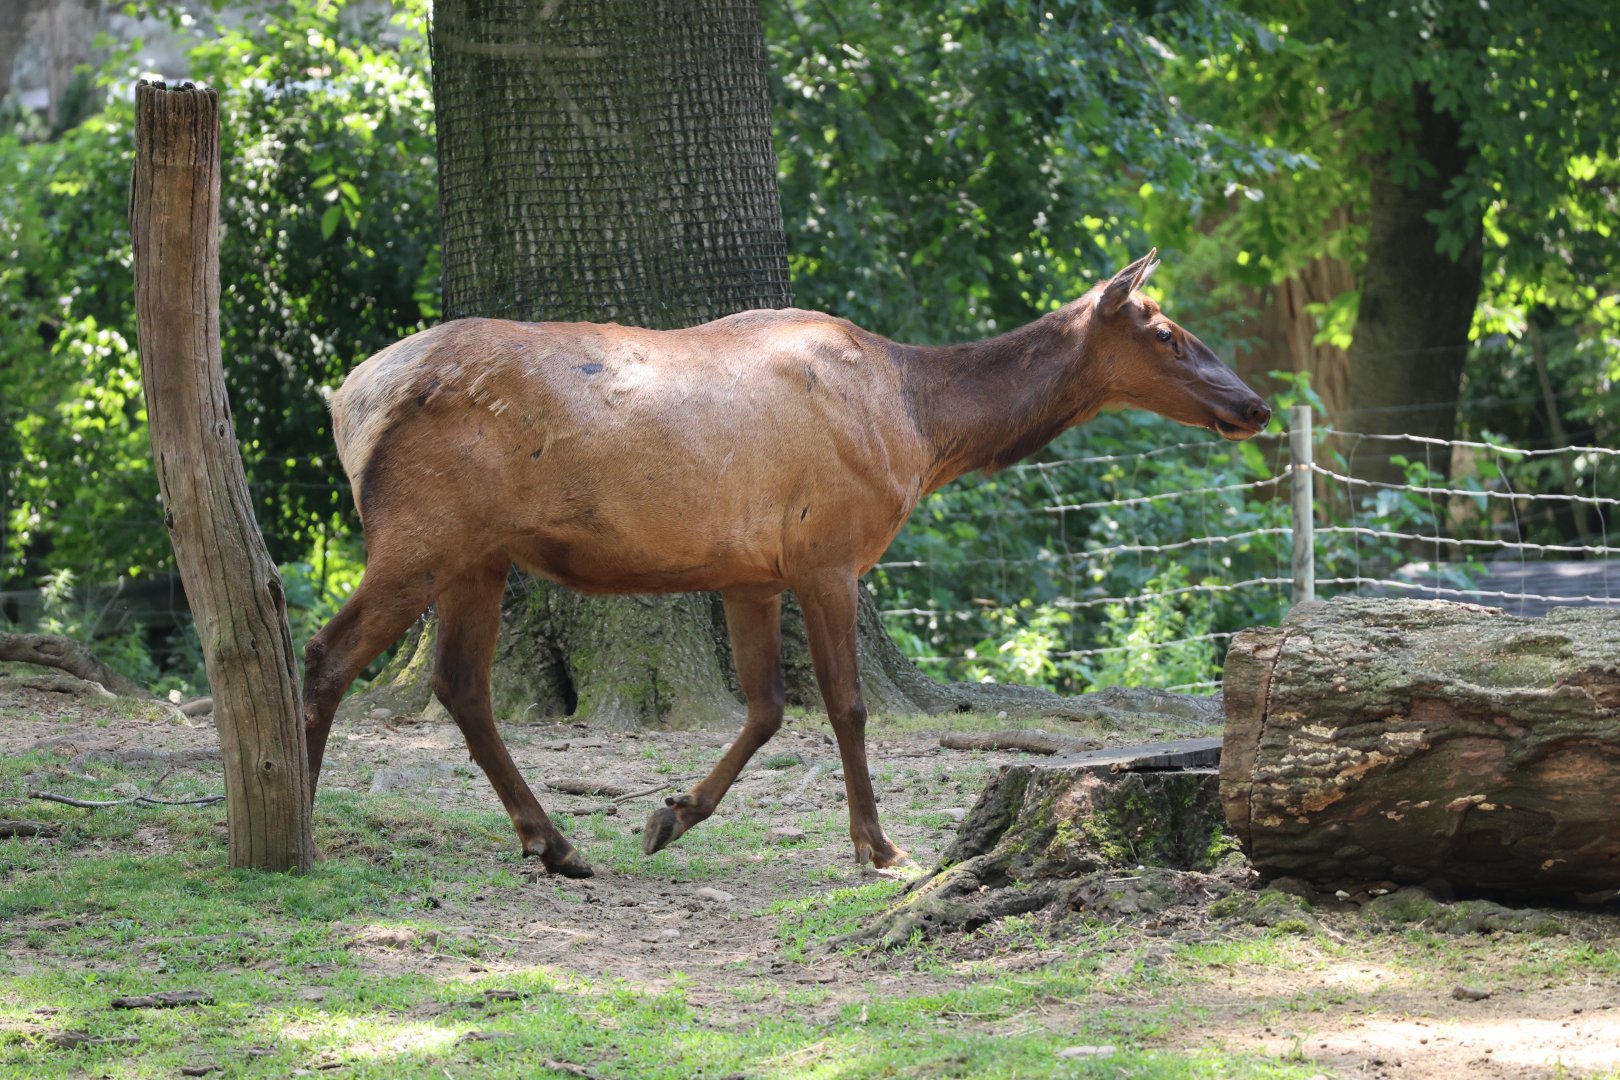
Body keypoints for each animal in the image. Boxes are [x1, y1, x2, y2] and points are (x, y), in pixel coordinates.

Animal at [301, 250, 1270, 878]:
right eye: (1168, 333)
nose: (1256, 405)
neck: (923, 429)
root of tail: (347, 399)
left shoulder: (750, 571)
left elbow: (767, 707)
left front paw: (670, 815)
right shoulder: (830, 552)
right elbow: (845, 704)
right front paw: (879, 846)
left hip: (479, 555)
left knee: (460, 684)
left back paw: (558, 843)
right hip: (422, 532)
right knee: (327, 655)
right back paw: (300, 832)